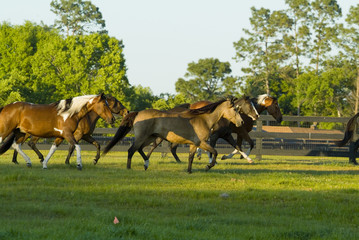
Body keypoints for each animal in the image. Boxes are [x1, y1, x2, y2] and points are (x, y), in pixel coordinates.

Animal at [102, 96, 258, 173]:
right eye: (236, 109)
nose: (241, 122)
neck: (204, 119)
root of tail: (138, 113)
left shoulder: (194, 145)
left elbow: (191, 158)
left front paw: (189, 171)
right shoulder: (202, 143)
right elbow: (214, 152)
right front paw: (208, 166)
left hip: (150, 137)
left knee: (140, 149)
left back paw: (146, 164)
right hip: (143, 137)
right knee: (131, 150)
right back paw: (130, 168)